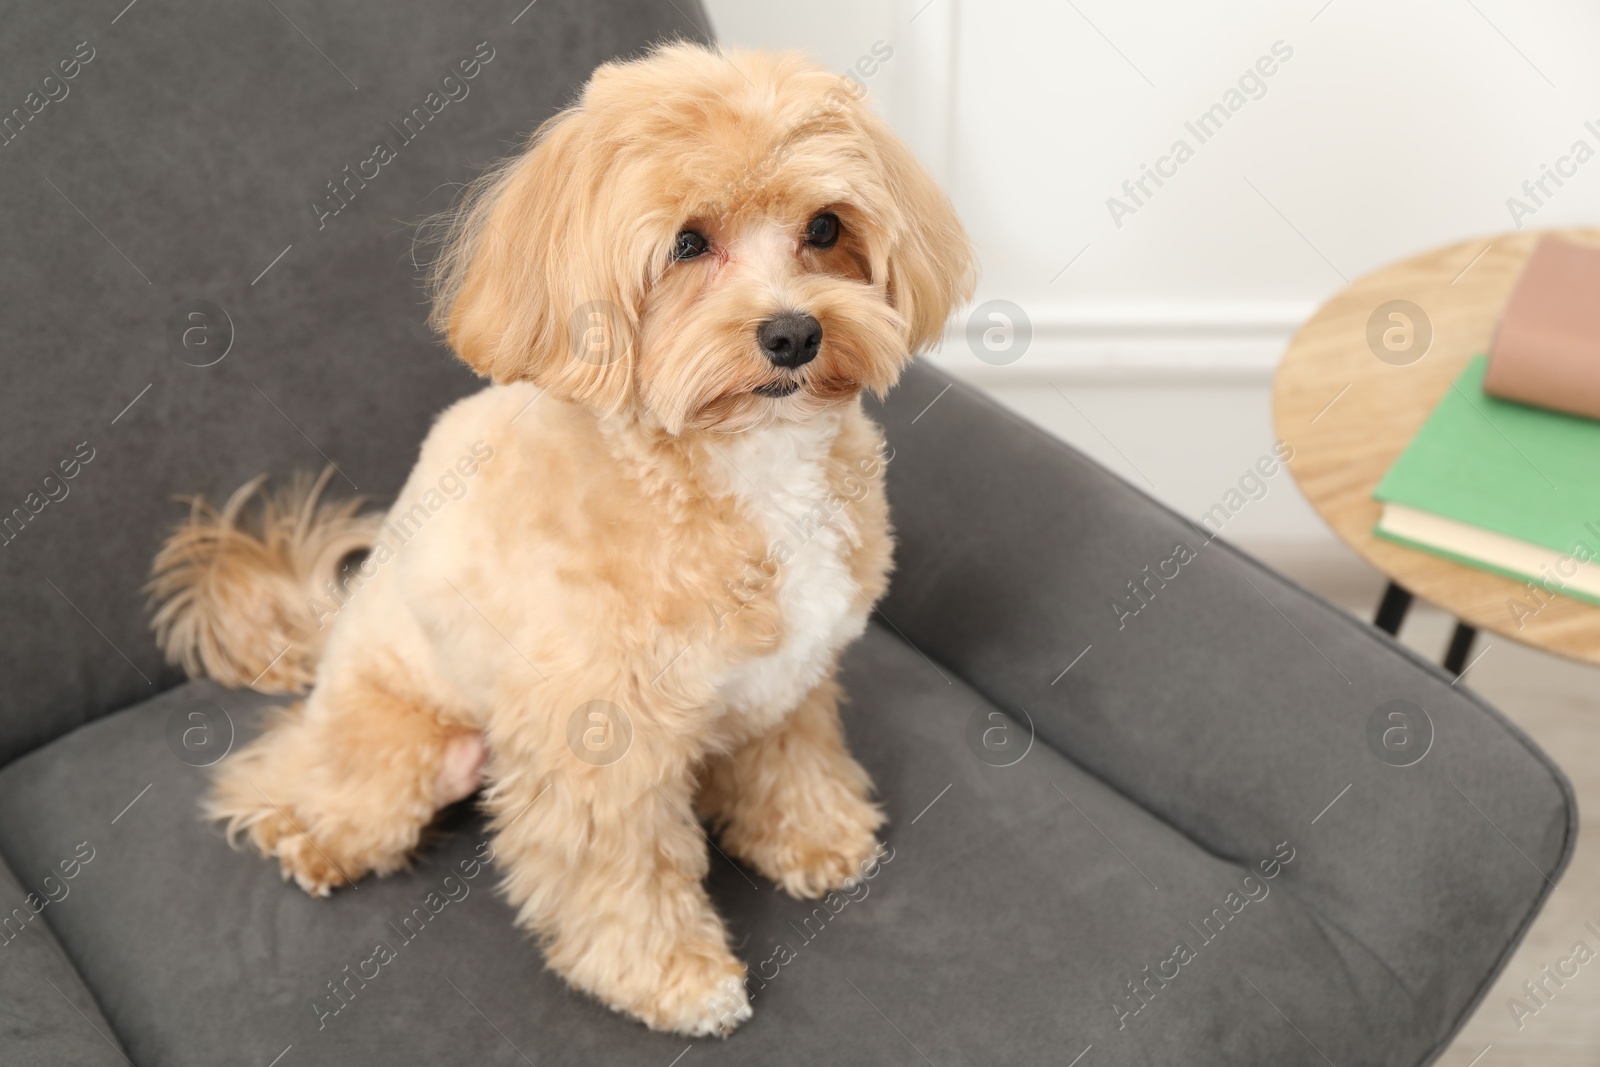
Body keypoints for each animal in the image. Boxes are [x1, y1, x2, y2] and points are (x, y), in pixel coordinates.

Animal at [150, 41, 972, 1036]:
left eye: (824, 227)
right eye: (687, 243)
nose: (793, 332)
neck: (740, 464)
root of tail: (336, 620)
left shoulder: (791, 672)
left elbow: (791, 755)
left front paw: (813, 833)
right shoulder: (597, 740)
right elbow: (620, 869)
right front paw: (675, 978)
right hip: (403, 740)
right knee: (299, 783)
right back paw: (308, 835)